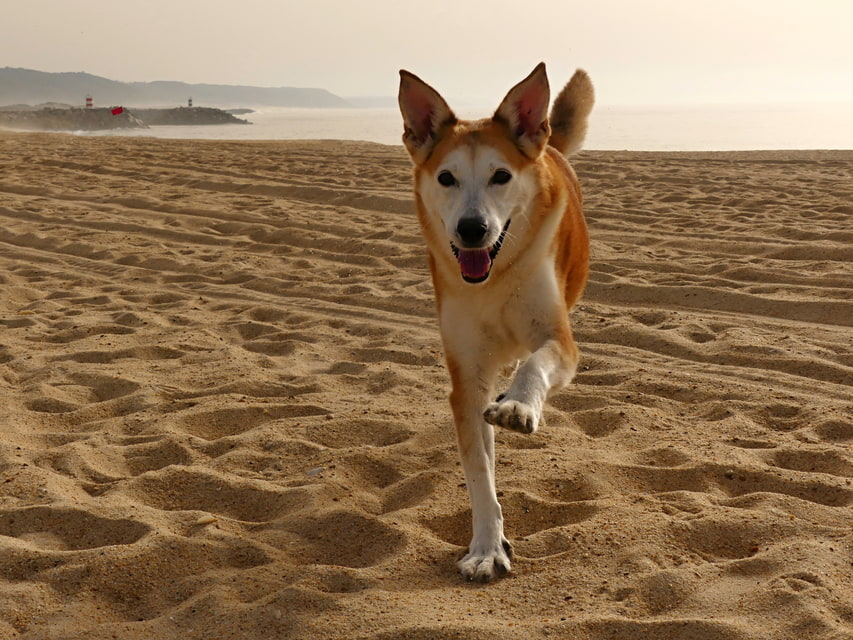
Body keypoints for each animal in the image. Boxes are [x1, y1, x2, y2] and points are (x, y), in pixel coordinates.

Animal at [398, 63, 592, 580]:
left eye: (501, 176)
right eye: (446, 178)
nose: (472, 229)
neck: (495, 277)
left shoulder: (561, 342)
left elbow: (536, 363)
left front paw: (518, 406)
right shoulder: (468, 378)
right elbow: (479, 474)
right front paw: (487, 547)